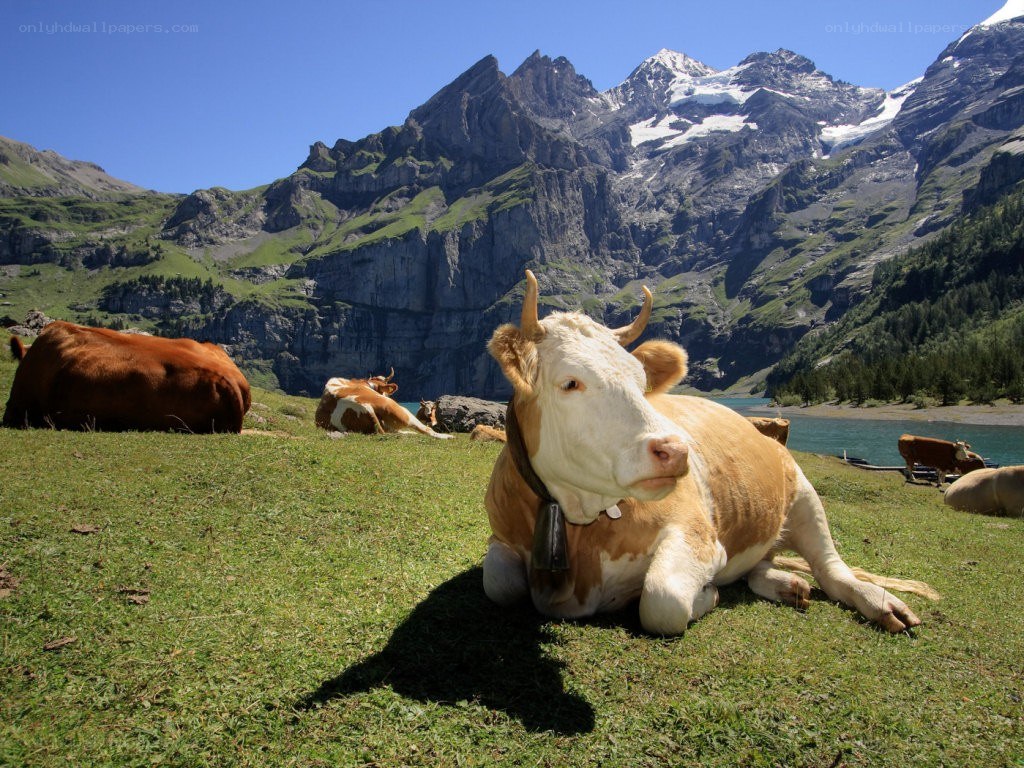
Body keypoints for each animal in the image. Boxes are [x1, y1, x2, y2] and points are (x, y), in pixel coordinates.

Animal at [483, 270, 937, 636]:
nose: (675, 450)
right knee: (766, 563)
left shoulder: (697, 535)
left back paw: (880, 604)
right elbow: (499, 584)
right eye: (570, 382)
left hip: (804, 495)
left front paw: (707, 595)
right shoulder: (502, 538)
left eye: (641, 380)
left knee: (832, 569)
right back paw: (786, 585)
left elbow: (661, 599)